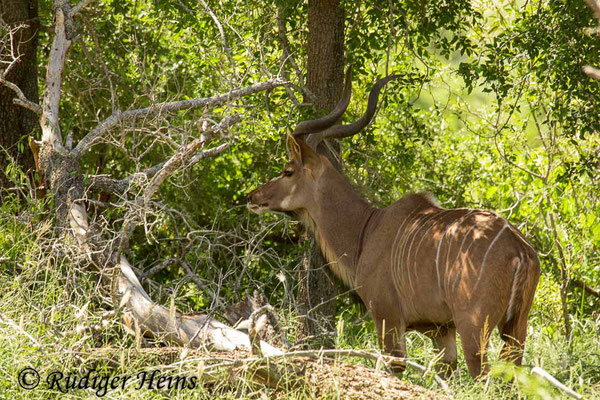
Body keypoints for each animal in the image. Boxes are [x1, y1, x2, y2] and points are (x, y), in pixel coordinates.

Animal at [246, 69, 540, 378]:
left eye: (288, 171)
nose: (251, 196)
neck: (367, 230)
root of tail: (520, 251)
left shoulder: (388, 319)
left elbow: (393, 368)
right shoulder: (440, 331)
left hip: (474, 328)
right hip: (516, 328)